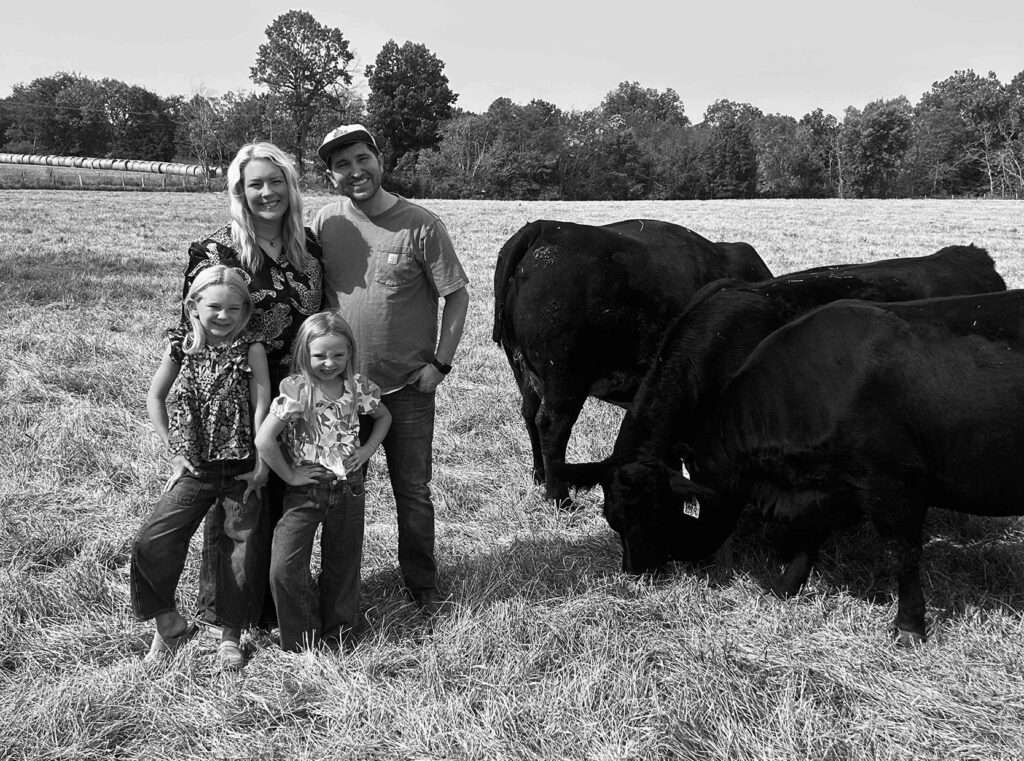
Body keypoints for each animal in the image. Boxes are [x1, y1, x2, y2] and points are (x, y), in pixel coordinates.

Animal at [492, 218, 772, 506]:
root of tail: (544, 227)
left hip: (524, 371)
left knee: (529, 413)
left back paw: (539, 476)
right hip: (565, 379)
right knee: (551, 425)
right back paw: (559, 497)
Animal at [628, 290, 1024, 645]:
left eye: (689, 504)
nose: (676, 557)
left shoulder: (893, 483)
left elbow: (903, 554)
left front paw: (909, 626)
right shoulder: (834, 485)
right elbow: (809, 536)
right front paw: (784, 587)